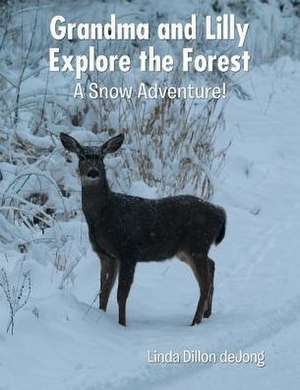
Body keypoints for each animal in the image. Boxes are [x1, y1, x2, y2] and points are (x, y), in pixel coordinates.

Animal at [59, 133, 226, 328]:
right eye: (82, 156)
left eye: (101, 157)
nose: (93, 172)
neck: (103, 215)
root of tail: (219, 213)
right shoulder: (106, 255)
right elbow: (103, 292)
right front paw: (102, 317)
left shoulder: (128, 251)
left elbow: (120, 295)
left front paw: (122, 324)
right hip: (187, 250)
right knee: (212, 265)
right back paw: (206, 314)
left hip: (197, 245)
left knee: (204, 284)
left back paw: (195, 322)